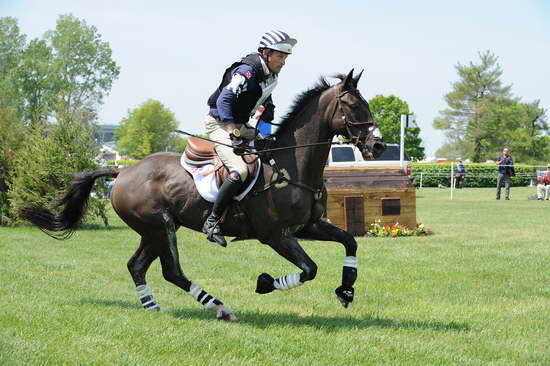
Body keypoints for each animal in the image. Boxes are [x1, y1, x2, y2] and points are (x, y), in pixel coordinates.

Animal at [18, 68, 388, 320]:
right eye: (353, 106)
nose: (378, 145)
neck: (291, 166)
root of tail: (123, 171)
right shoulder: (275, 235)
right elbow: (309, 269)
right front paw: (265, 283)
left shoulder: (309, 226)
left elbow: (350, 243)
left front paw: (346, 290)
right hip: (160, 226)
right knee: (172, 272)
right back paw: (220, 307)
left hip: (154, 229)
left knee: (137, 266)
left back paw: (153, 306)